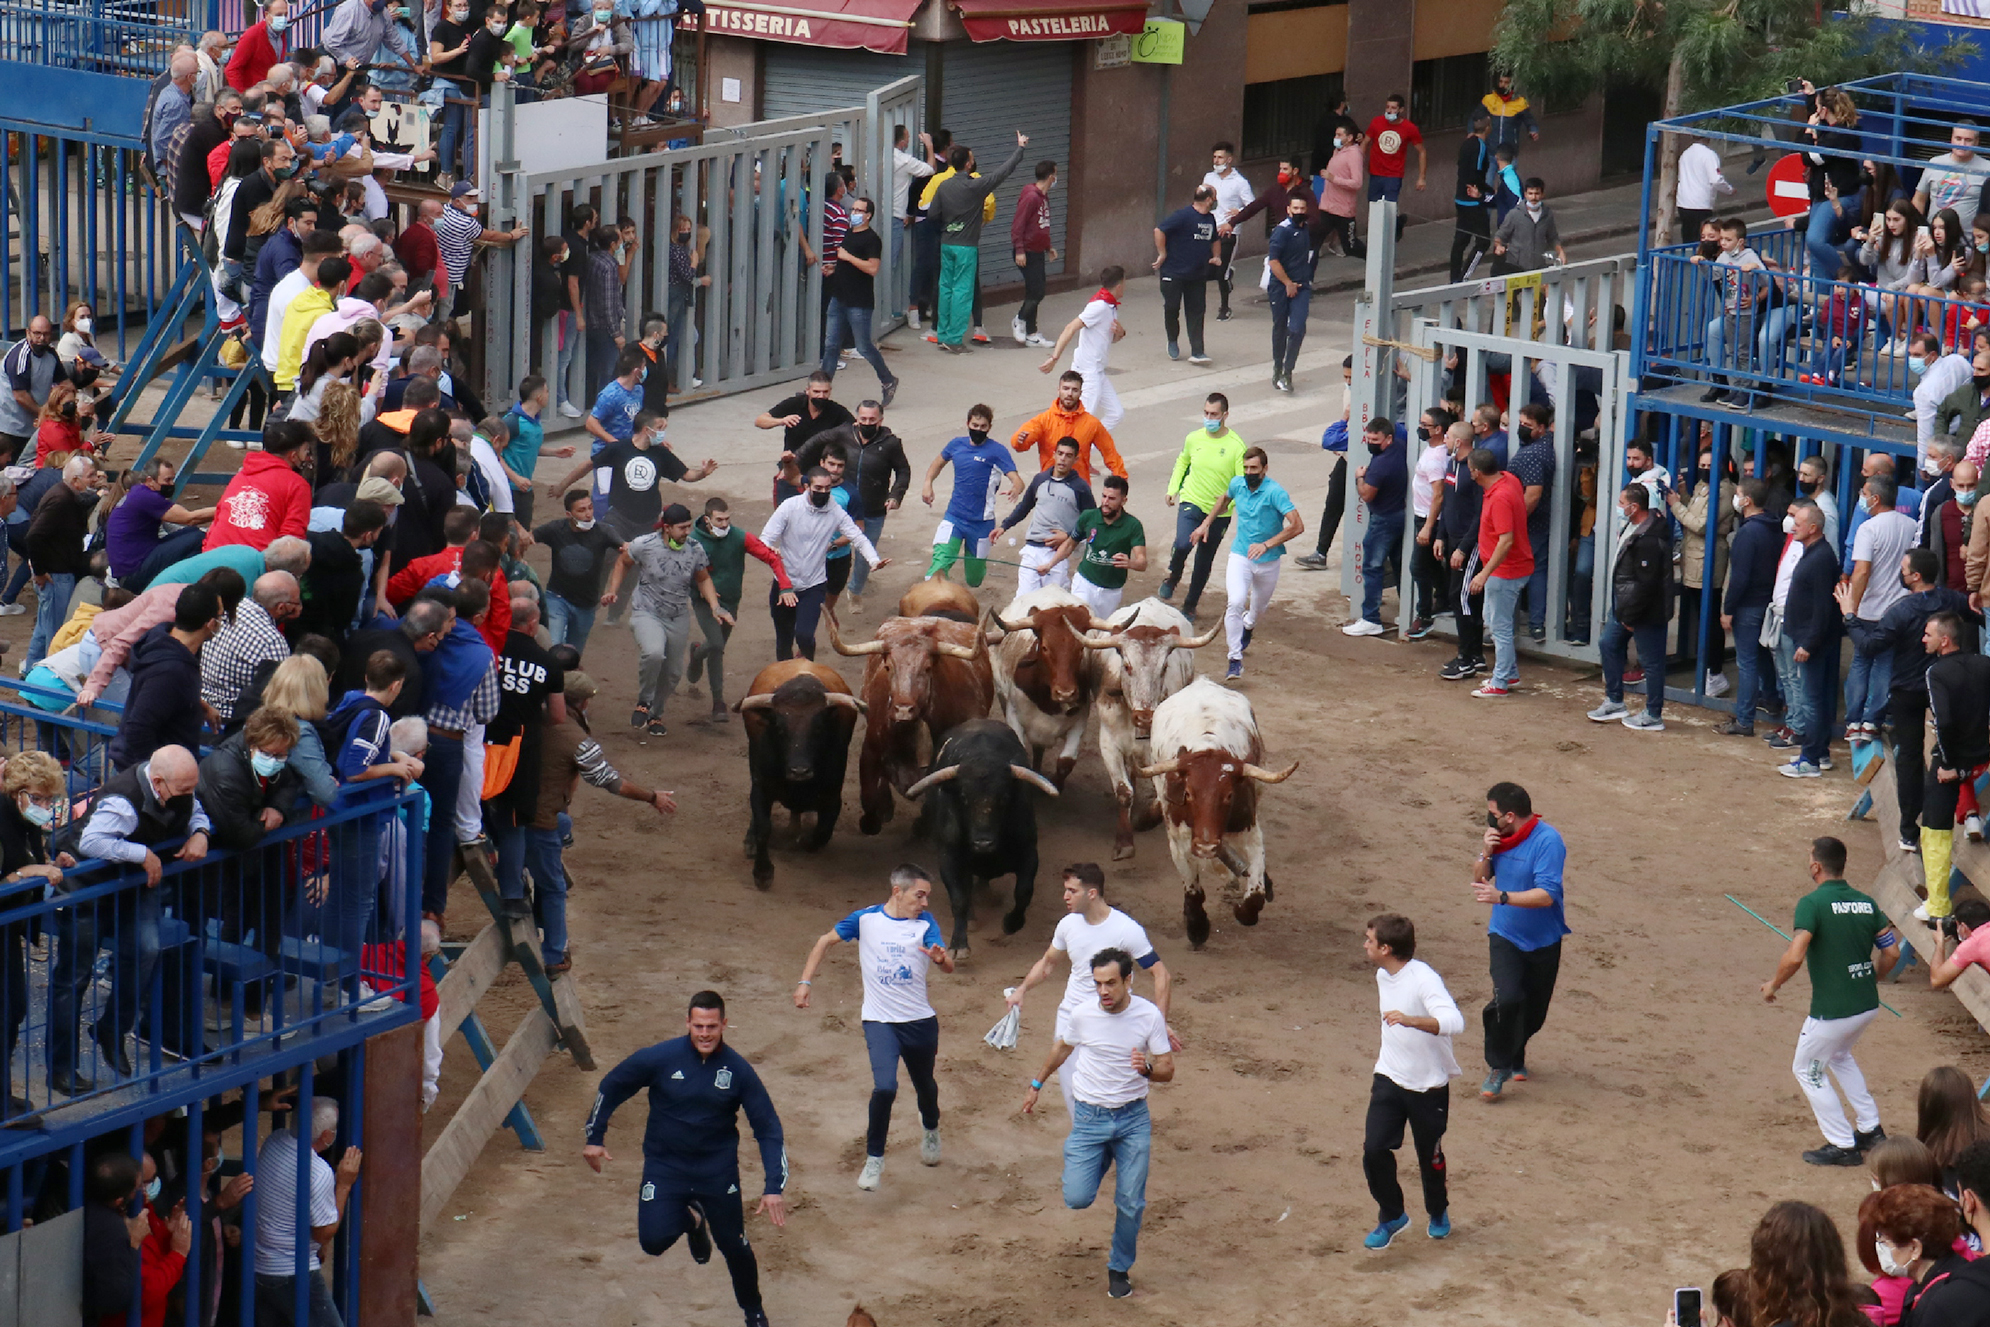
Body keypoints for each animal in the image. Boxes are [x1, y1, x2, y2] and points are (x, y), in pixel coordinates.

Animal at [823, 608, 995, 831]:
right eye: (888, 667)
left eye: (927, 668)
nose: (903, 709)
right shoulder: (870, 751)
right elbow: (869, 797)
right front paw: (877, 816)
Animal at [1138, 680, 1305, 950]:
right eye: (1188, 793)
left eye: (1229, 795)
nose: (1206, 846)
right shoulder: (1179, 841)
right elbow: (1192, 889)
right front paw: (1197, 927)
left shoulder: (1250, 832)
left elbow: (1256, 894)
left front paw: (1244, 907)